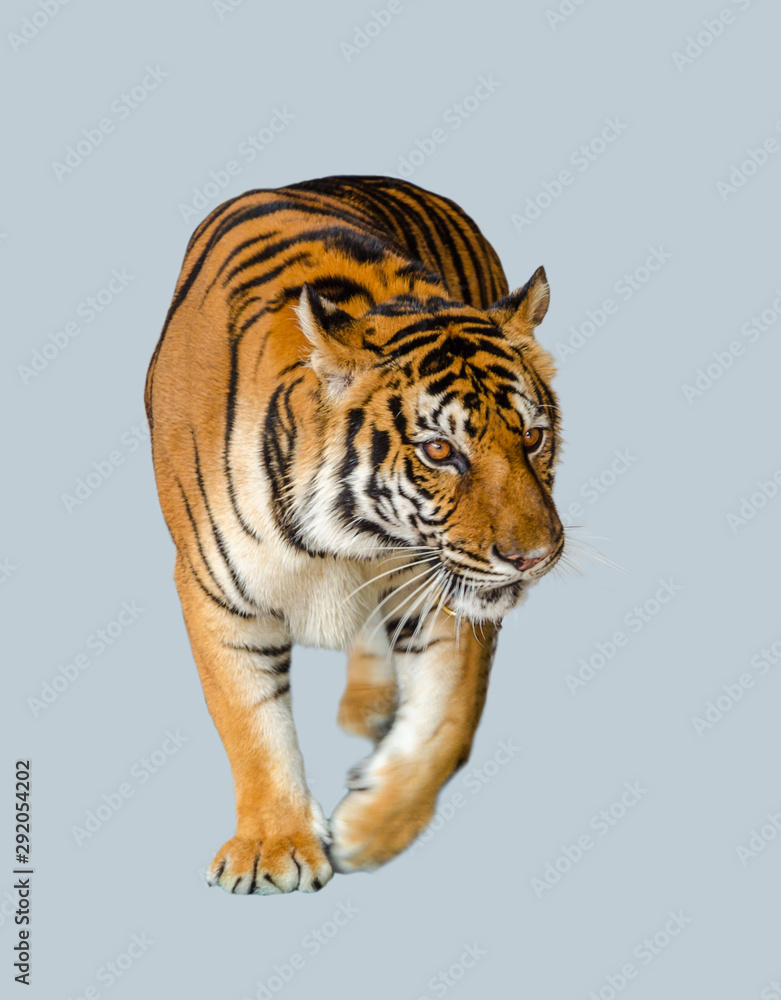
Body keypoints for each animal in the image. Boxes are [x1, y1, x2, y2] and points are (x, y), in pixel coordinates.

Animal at [144, 174, 564, 895]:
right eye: (439, 451)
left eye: (532, 438)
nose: (534, 557)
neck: (349, 542)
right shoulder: (214, 589)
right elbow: (250, 720)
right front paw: (274, 846)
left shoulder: (440, 593)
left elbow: (445, 722)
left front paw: (370, 831)